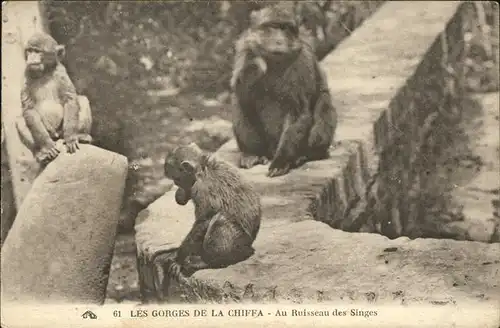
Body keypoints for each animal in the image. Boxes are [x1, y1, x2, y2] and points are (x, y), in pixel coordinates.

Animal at [15, 32, 93, 165]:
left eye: (37, 51)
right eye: (29, 50)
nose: (31, 57)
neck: (45, 72)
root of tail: (57, 135)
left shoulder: (61, 72)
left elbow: (70, 99)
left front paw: (70, 137)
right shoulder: (26, 73)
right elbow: (28, 109)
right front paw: (47, 146)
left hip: (61, 131)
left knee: (82, 100)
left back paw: (81, 135)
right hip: (51, 133)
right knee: (21, 120)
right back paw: (40, 153)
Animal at [163, 142, 262, 278]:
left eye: (176, 179)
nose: (177, 184)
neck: (202, 168)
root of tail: (251, 243)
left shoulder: (201, 188)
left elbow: (204, 220)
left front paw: (179, 258)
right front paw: (181, 195)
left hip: (241, 243)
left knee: (221, 220)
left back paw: (206, 261)